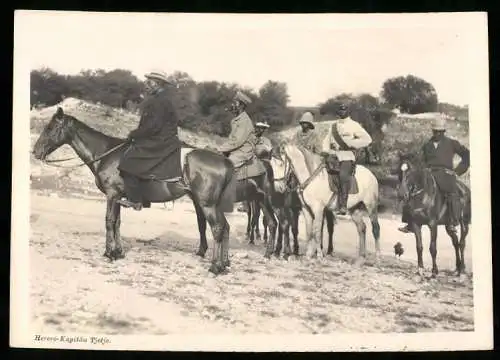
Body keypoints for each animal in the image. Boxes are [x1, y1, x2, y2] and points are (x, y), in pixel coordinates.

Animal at [32, 107, 236, 276]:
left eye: (50, 128)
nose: (35, 152)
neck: (106, 154)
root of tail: (225, 162)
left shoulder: (112, 195)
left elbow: (109, 221)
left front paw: (109, 253)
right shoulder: (119, 197)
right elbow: (117, 223)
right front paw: (118, 252)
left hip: (207, 205)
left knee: (217, 228)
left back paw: (215, 266)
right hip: (213, 205)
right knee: (225, 227)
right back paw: (224, 263)